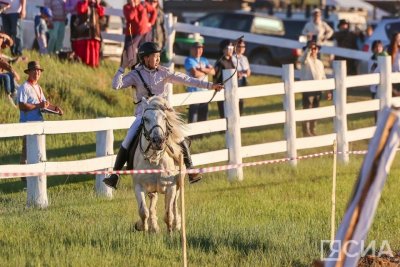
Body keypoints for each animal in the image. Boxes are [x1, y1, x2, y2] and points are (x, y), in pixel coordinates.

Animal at [133, 96, 186, 234]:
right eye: (146, 119)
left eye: (164, 118)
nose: (158, 141)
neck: (154, 160)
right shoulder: (139, 187)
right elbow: (143, 211)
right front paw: (144, 229)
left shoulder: (171, 188)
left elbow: (168, 214)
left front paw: (170, 233)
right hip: (153, 190)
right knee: (152, 205)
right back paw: (154, 227)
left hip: (178, 186)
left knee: (174, 205)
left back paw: (177, 225)